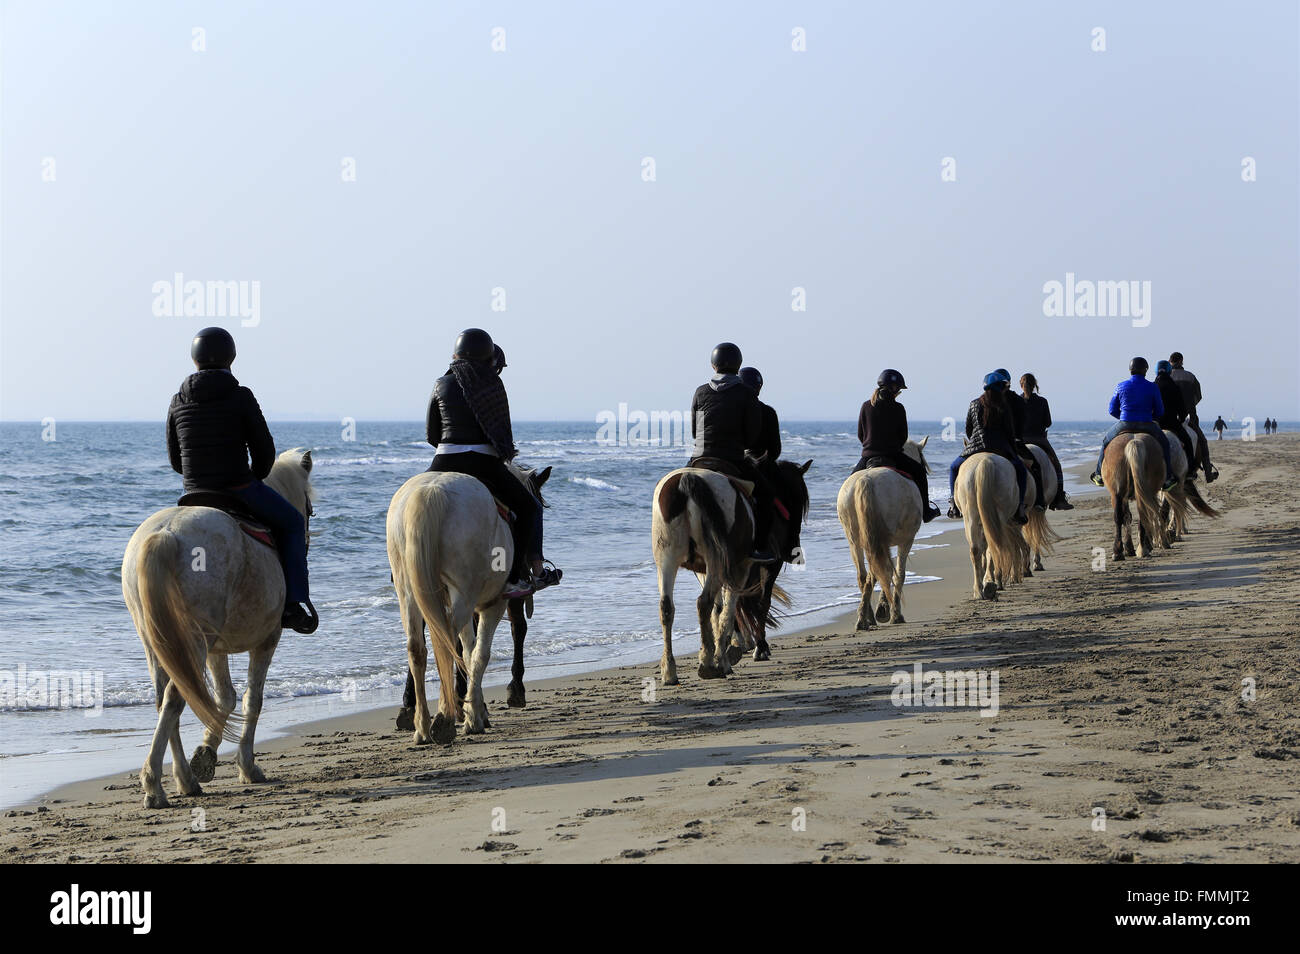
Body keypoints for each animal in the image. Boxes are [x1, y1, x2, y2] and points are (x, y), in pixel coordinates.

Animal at [122, 452, 315, 811]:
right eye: (308, 510)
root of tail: (166, 534)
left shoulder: (217, 650)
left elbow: (223, 697)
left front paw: (205, 754)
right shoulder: (267, 640)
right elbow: (252, 699)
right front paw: (247, 766)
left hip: (159, 643)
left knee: (165, 699)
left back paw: (183, 779)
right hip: (194, 642)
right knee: (175, 698)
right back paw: (155, 783)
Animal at [384, 460, 548, 743]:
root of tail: (430, 493)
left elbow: (468, 652)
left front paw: (476, 708)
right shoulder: (494, 604)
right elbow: (480, 653)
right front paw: (474, 715)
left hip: (408, 591)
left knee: (418, 646)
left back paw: (422, 725)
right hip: (463, 593)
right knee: (445, 641)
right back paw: (443, 719)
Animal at [837, 436, 930, 631]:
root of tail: (866, 480)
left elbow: (885, 571)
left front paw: (882, 610)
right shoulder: (905, 541)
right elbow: (898, 573)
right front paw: (893, 613)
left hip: (855, 541)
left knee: (864, 576)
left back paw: (865, 618)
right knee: (877, 572)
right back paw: (871, 617)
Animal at [956, 454, 1024, 600]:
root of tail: (984, 462)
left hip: (970, 517)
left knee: (976, 549)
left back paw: (979, 591)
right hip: (1000, 518)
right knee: (996, 546)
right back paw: (996, 582)